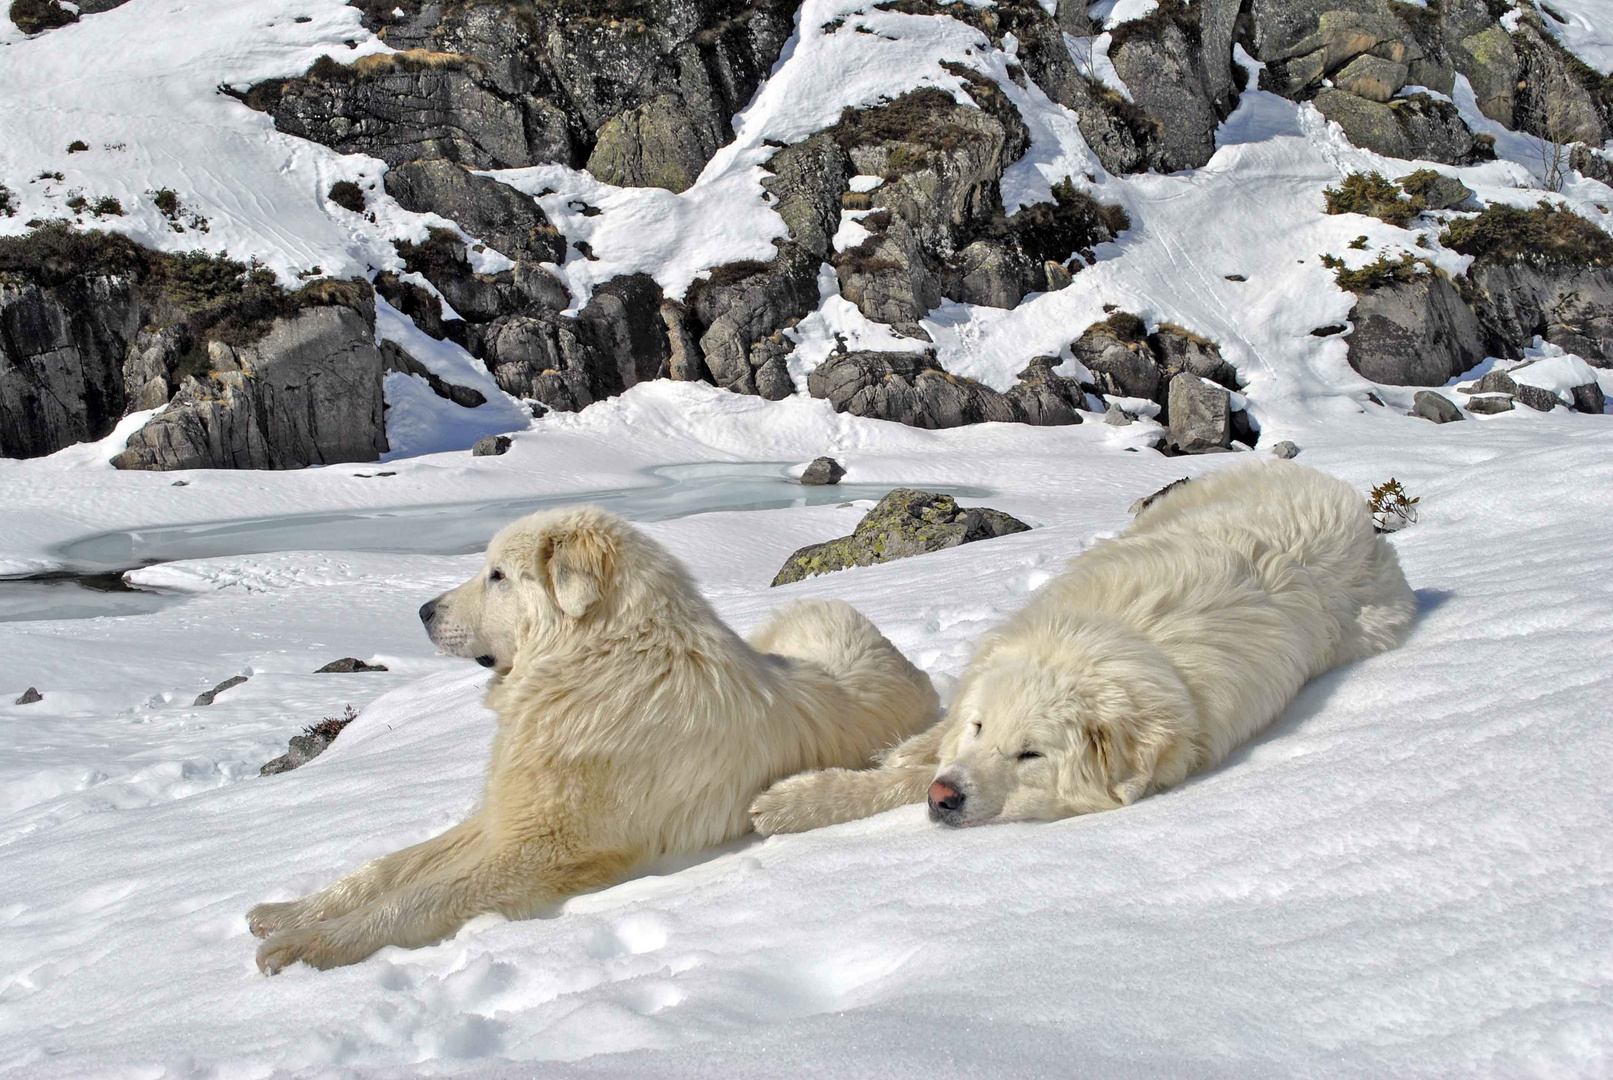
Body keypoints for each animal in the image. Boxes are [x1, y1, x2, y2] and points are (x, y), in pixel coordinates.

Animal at [245, 509, 941, 973]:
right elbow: (386, 867)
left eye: (497, 576)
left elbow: (419, 895)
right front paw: (291, 912)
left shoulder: (543, 849)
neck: (596, 665)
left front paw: (309, 947)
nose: (422, 611)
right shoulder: (505, 815)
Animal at [748, 461, 1419, 831]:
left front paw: (798, 802)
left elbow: (908, 778)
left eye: (1030, 755)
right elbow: (923, 751)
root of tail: (1342, 495)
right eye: (980, 727)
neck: (1110, 641)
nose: (946, 799)